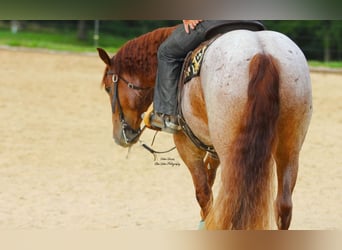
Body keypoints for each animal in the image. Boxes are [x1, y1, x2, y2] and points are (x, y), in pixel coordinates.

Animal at [97, 24, 312, 229]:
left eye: (108, 88)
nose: (120, 136)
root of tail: (263, 53)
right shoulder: (212, 146)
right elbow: (209, 176)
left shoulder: (187, 146)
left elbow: (203, 192)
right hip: (289, 150)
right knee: (283, 206)